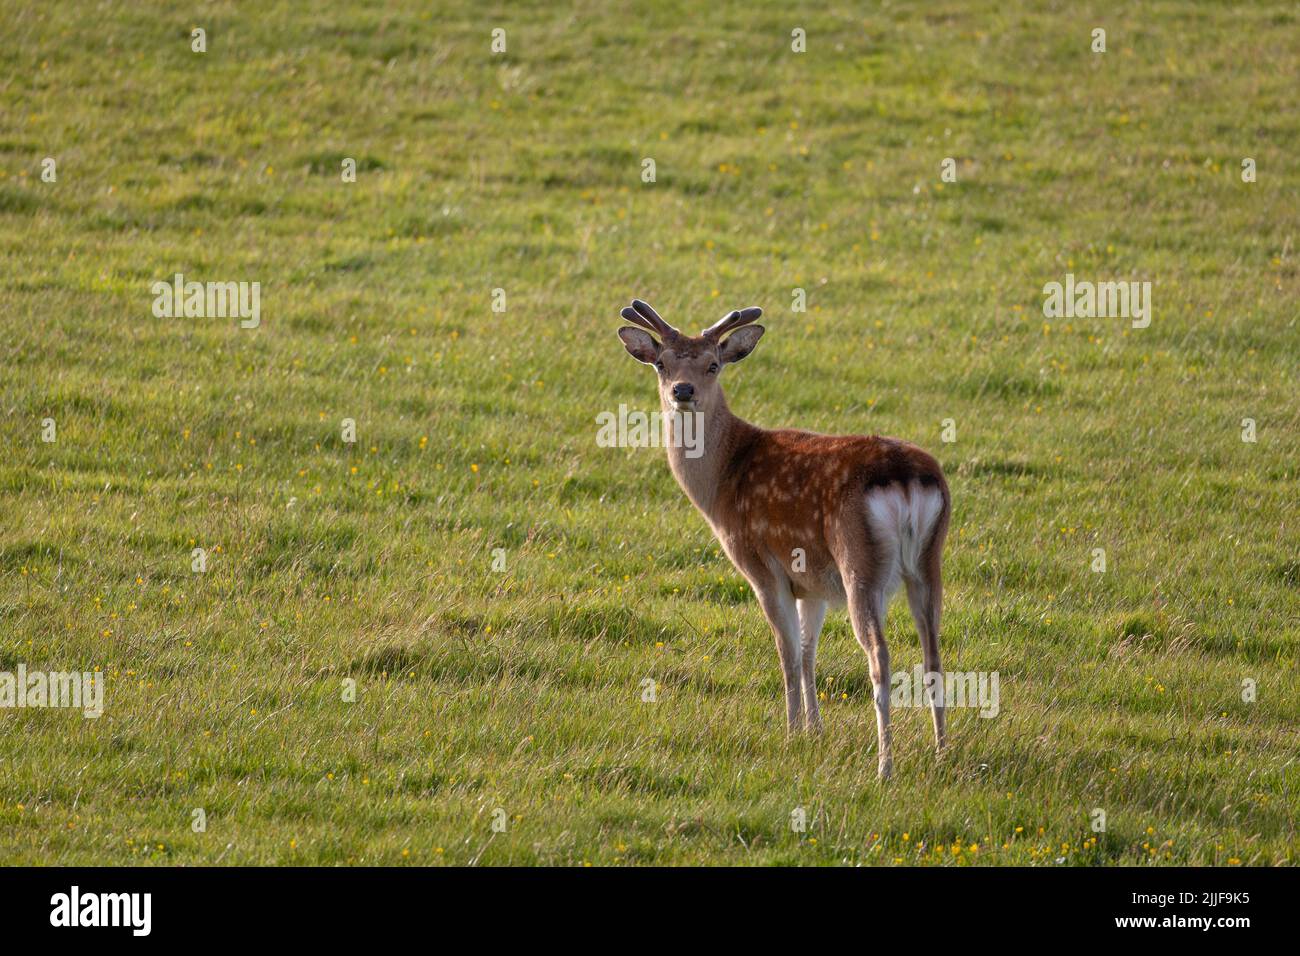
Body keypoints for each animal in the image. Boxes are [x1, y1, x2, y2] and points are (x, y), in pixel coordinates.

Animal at [616, 299, 951, 779]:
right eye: (662, 363)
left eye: (713, 364)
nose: (683, 390)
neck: (722, 482)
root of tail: (906, 477)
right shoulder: (812, 582)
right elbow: (809, 652)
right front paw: (816, 731)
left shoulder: (762, 567)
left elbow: (788, 653)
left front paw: (792, 734)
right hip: (929, 560)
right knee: (933, 651)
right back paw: (942, 750)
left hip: (860, 562)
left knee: (880, 656)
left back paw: (885, 765)